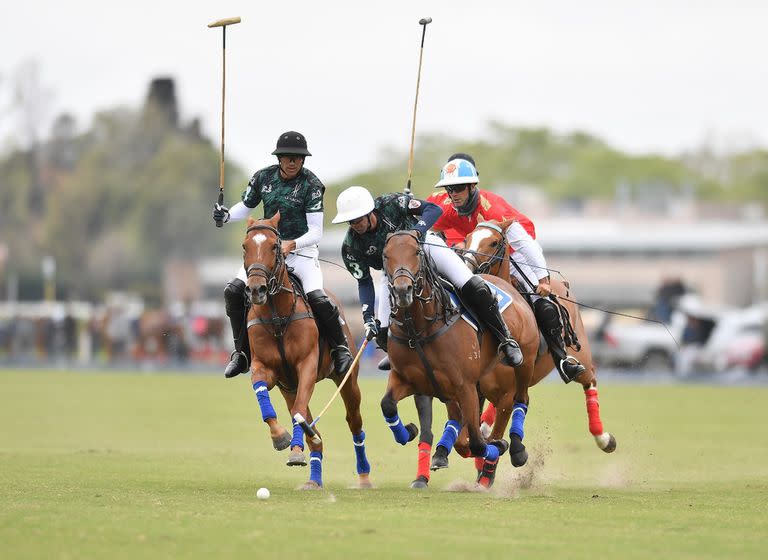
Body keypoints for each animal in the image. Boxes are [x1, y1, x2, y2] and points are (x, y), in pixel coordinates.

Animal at [242, 214, 370, 490]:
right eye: (245, 247)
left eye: (275, 246)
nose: (256, 289)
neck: (277, 317)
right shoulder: (265, 368)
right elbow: (263, 392)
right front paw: (281, 438)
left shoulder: (307, 365)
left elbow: (300, 412)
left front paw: (294, 449)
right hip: (288, 388)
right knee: (313, 431)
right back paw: (313, 477)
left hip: (347, 379)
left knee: (354, 422)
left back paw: (364, 476)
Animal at [380, 230, 540, 480]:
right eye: (386, 255)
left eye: (416, 252)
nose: (402, 290)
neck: (420, 330)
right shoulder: (407, 379)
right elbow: (387, 404)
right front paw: (409, 431)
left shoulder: (465, 386)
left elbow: (476, 442)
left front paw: (498, 445)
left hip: (525, 362)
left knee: (521, 398)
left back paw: (516, 448)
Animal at [462, 219, 616, 464]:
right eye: (467, 239)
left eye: (494, 242)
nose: (466, 268)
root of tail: (562, 284)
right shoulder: (475, 390)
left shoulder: (506, 395)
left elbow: (494, 440)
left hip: (580, 357)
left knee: (589, 379)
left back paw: (603, 438)